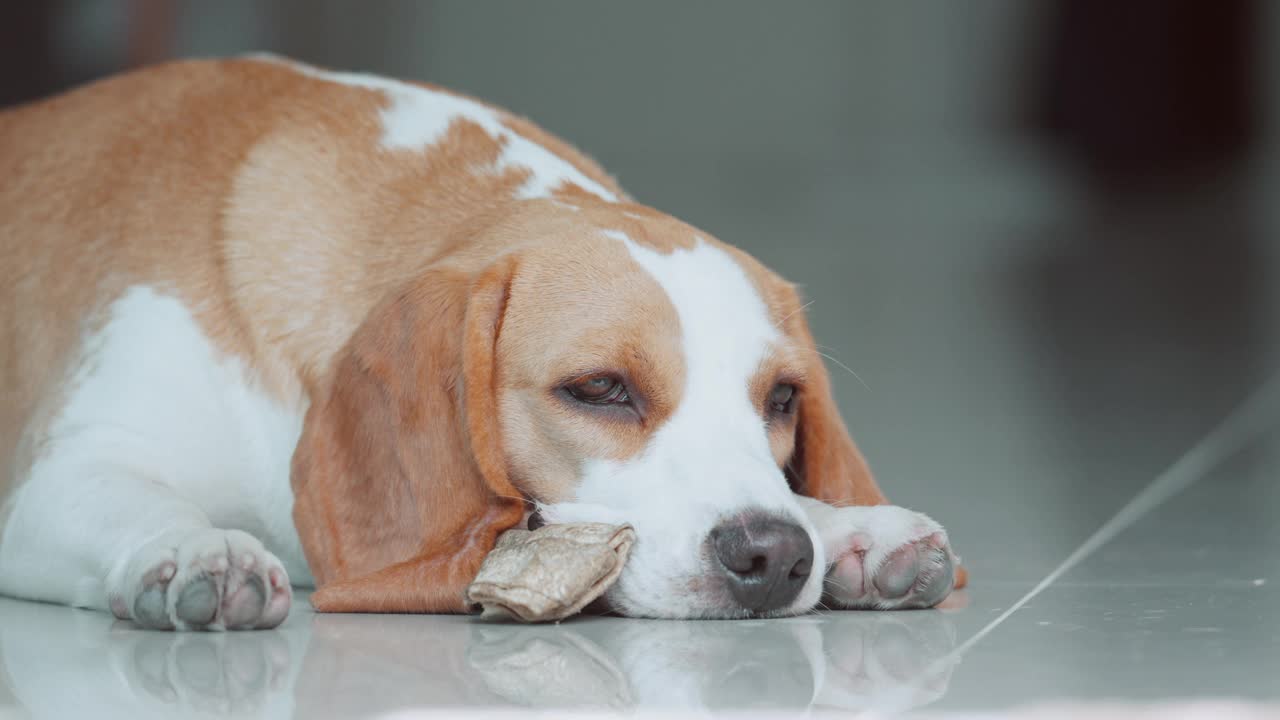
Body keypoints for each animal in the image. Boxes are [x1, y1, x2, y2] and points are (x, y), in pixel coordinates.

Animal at [0, 57, 962, 627]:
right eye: (600, 388)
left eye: (783, 398)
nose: (774, 555)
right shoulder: (52, 486)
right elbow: (143, 503)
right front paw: (198, 549)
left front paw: (848, 529)